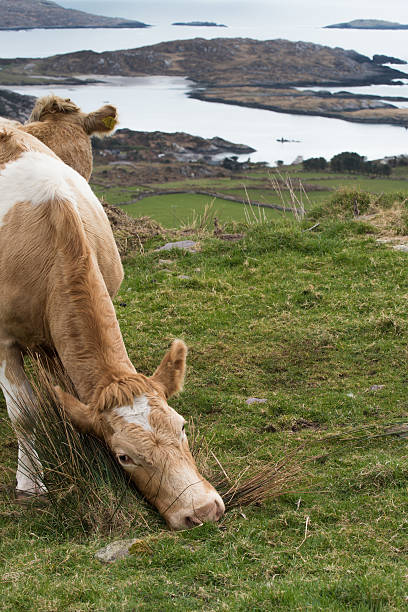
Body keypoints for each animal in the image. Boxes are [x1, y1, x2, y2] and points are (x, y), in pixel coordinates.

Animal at [0, 120, 225, 532]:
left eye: (182, 426)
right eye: (124, 456)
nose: (202, 511)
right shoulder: (4, 340)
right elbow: (24, 413)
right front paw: (30, 483)